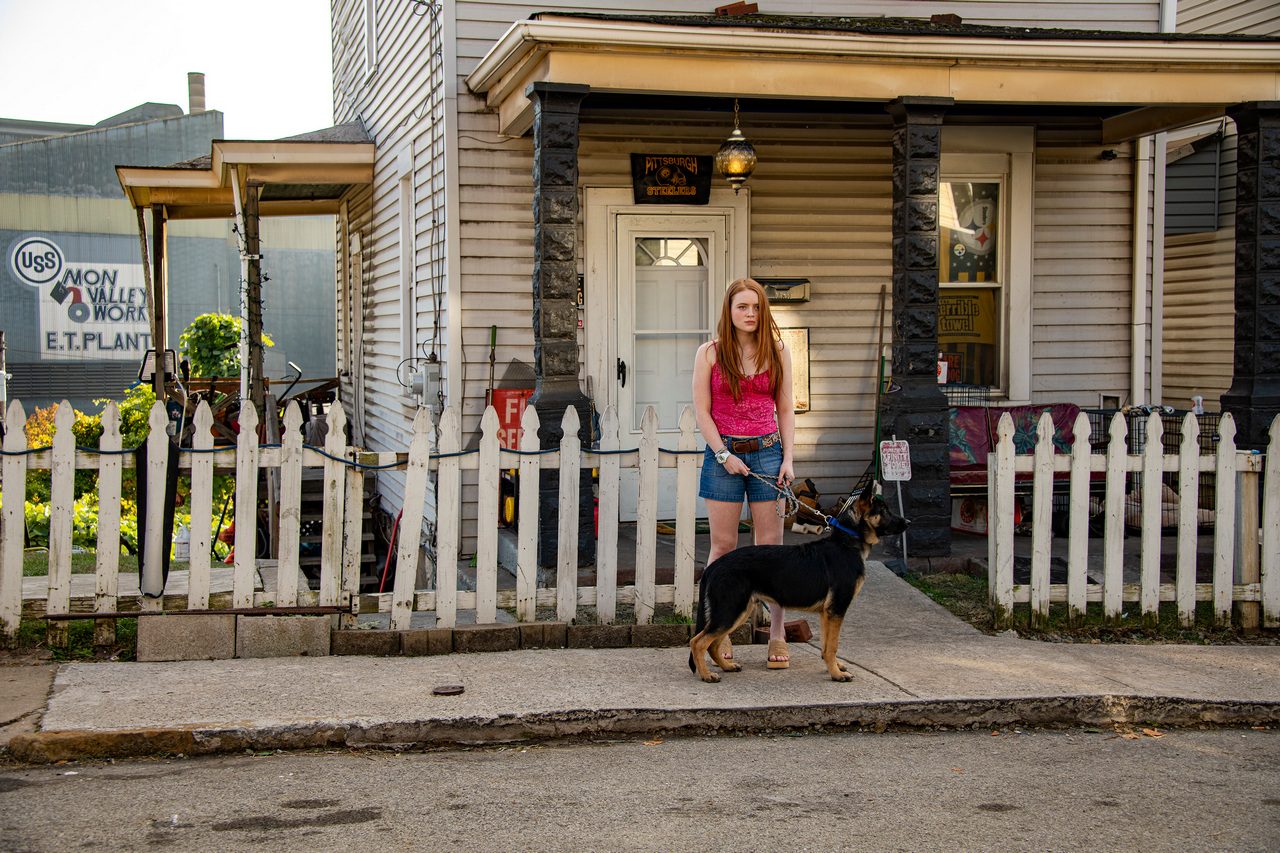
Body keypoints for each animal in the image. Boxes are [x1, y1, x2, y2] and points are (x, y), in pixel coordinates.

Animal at [691, 481, 911, 681]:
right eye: (885, 511)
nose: (908, 522)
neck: (846, 542)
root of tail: (712, 567)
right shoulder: (836, 609)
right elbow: (833, 645)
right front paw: (837, 674)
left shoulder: (826, 613)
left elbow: (826, 646)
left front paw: (834, 667)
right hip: (731, 611)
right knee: (698, 642)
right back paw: (706, 675)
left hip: (739, 611)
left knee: (712, 644)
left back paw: (726, 666)